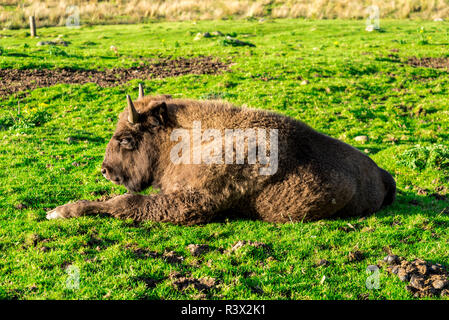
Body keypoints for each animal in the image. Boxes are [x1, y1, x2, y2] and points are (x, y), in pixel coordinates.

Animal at [46, 85, 396, 225]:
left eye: (127, 139)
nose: (105, 170)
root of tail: (382, 173)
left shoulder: (197, 200)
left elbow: (126, 202)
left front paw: (59, 211)